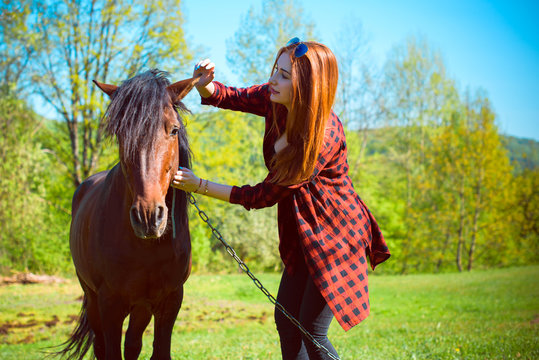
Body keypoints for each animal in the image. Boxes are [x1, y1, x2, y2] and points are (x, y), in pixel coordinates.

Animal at [59, 69, 198, 358]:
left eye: (174, 129)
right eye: (122, 134)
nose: (148, 217)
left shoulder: (170, 301)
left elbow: (157, 350)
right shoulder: (110, 304)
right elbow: (111, 350)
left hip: (141, 306)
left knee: (133, 344)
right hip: (91, 297)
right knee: (101, 345)